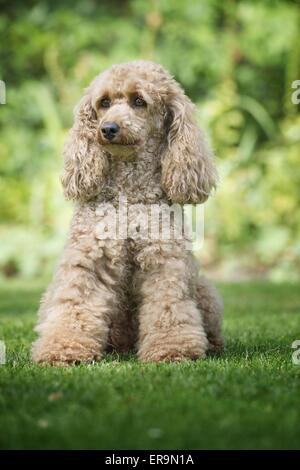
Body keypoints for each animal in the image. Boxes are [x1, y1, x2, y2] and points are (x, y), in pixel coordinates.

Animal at [31, 60, 224, 366]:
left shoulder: (164, 262)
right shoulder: (89, 261)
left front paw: (173, 349)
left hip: (203, 288)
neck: (128, 199)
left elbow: (167, 308)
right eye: (104, 102)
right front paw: (63, 349)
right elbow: (76, 304)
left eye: (139, 101)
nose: (108, 128)